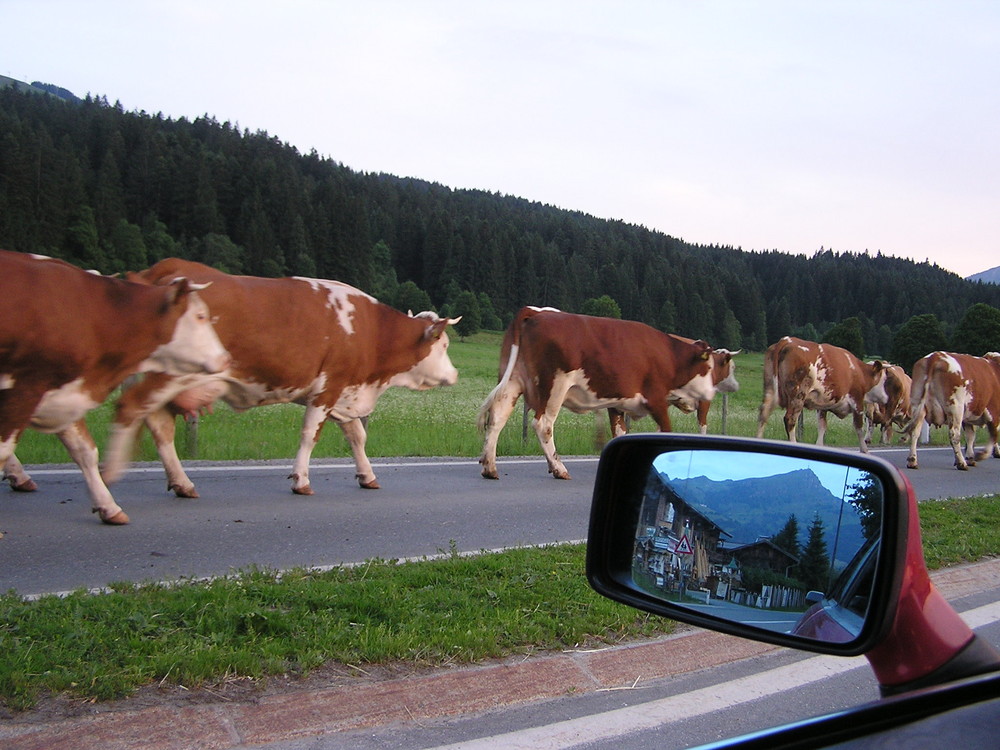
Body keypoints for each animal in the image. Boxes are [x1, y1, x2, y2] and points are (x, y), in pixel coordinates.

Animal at [0, 250, 229, 524]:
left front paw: (108, 506)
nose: (226, 359)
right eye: (201, 316)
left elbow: (86, 451)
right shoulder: (26, 390)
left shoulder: (63, 392)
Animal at [99, 258, 458, 500]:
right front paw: (301, 480)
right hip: (168, 375)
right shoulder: (329, 388)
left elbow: (357, 436)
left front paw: (366, 476)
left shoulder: (345, 392)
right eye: (443, 344)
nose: (454, 374)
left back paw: (182, 483)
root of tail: (166, 268)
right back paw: (110, 482)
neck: (373, 332)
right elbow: (310, 435)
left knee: (158, 424)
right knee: (134, 410)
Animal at [478, 306, 720, 478]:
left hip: (512, 380)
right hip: (554, 386)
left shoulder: (617, 403)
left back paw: (490, 467)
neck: (668, 356)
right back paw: (558, 468)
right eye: (708, 368)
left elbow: (620, 433)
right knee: (543, 424)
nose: (711, 393)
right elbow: (665, 431)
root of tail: (536, 312)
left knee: (497, 417)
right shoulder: (656, 400)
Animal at [752, 340, 888, 452]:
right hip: (798, 395)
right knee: (790, 419)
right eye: (884, 379)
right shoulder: (857, 402)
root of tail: (786, 340)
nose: (886, 398)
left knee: (763, 414)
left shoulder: (823, 405)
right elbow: (859, 428)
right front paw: (864, 450)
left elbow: (822, 426)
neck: (859, 372)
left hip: (770, 388)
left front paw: (819, 445)